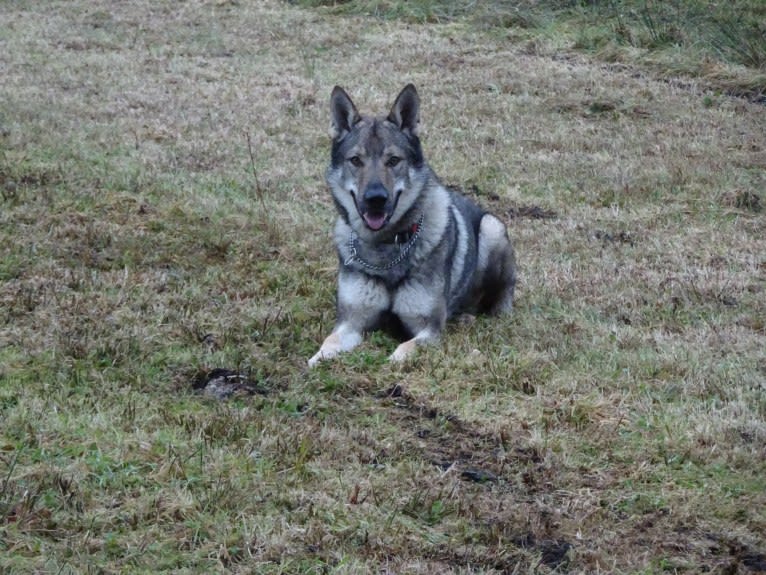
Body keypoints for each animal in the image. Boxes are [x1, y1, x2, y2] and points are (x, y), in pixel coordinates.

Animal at [308, 83, 520, 366]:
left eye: (393, 160)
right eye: (355, 160)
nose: (376, 199)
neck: (386, 247)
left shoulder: (428, 329)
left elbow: (404, 350)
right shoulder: (351, 322)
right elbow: (329, 341)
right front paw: (316, 360)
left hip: (491, 227)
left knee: (497, 304)